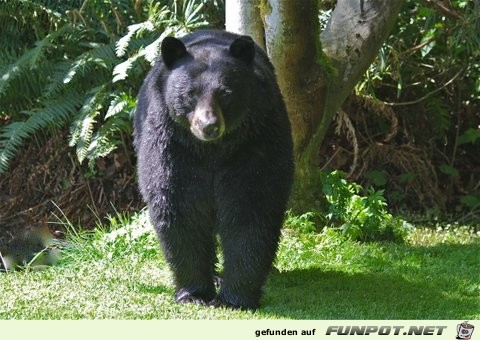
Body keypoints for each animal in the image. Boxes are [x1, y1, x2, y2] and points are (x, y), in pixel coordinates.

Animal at [133, 29, 294, 310]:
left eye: (226, 93)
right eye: (190, 93)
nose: (209, 126)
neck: (212, 151)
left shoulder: (255, 144)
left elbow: (249, 208)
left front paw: (234, 297)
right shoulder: (173, 148)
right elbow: (180, 208)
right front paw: (194, 292)